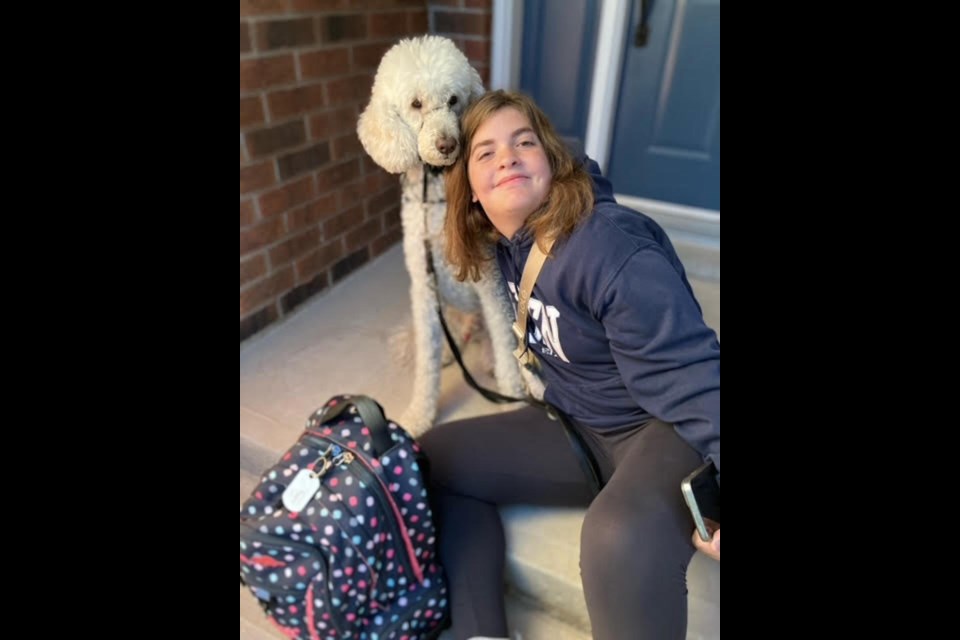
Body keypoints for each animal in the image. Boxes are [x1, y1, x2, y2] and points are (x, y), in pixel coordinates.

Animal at [356, 36, 536, 436]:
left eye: (453, 100)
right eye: (415, 104)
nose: (447, 144)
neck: (435, 187)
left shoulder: (489, 284)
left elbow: (505, 346)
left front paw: (512, 398)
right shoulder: (424, 287)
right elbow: (426, 360)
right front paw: (419, 415)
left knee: (494, 340)